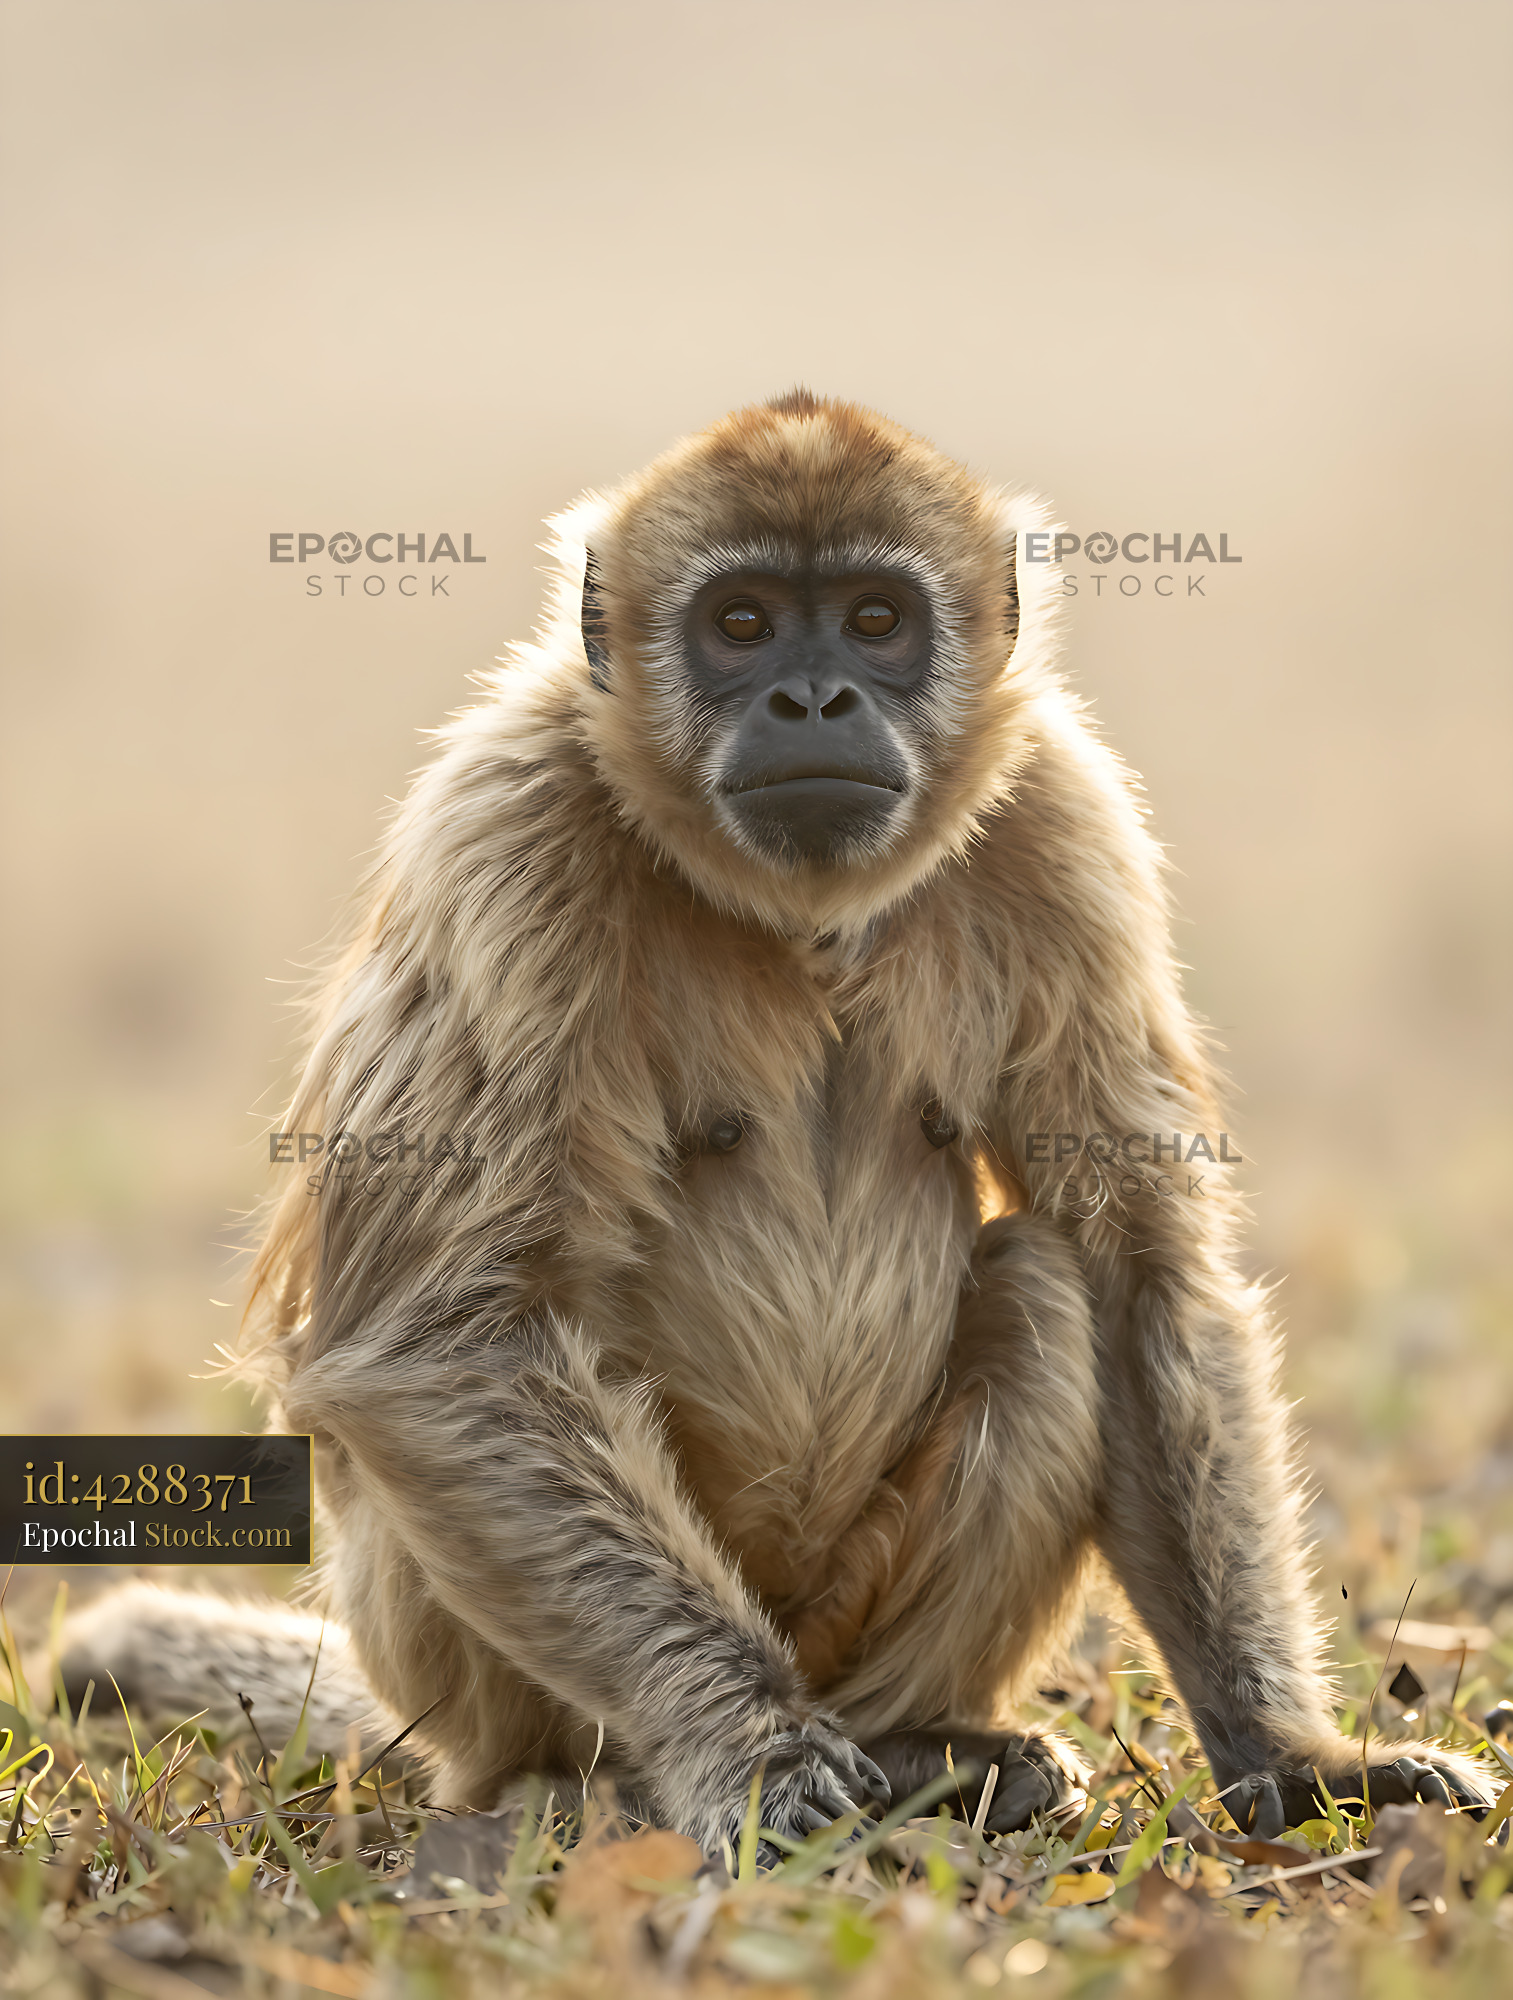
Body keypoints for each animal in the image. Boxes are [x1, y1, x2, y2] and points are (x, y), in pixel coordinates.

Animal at [56, 391, 1492, 1852]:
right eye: (741, 623)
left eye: (874, 619)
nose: (811, 695)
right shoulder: (502, 821)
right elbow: (432, 1342)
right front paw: (745, 1751)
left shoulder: (1064, 817)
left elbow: (1141, 1276)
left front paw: (1291, 1755)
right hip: (465, 1675)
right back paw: (612, 1784)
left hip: (839, 1627)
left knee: (1045, 1280)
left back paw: (918, 1751)